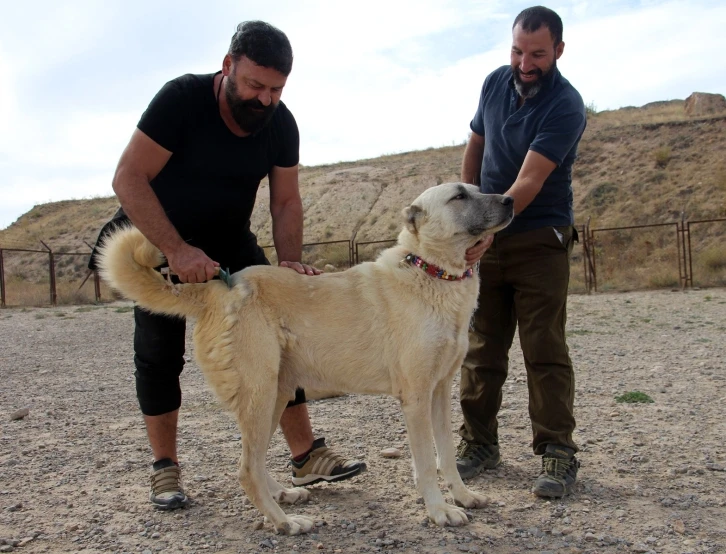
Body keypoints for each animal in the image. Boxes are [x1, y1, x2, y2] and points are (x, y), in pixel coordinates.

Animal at [99, 182, 516, 536]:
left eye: (477, 188)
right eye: (459, 196)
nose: (511, 199)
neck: (433, 273)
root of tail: (219, 287)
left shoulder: (440, 392)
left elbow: (446, 455)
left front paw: (462, 497)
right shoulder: (415, 398)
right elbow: (428, 463)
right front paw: (439, 511)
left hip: (275, 395)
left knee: (253, 460)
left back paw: (283, 495)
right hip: (260, 394)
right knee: (245, 469)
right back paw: (285, 522)